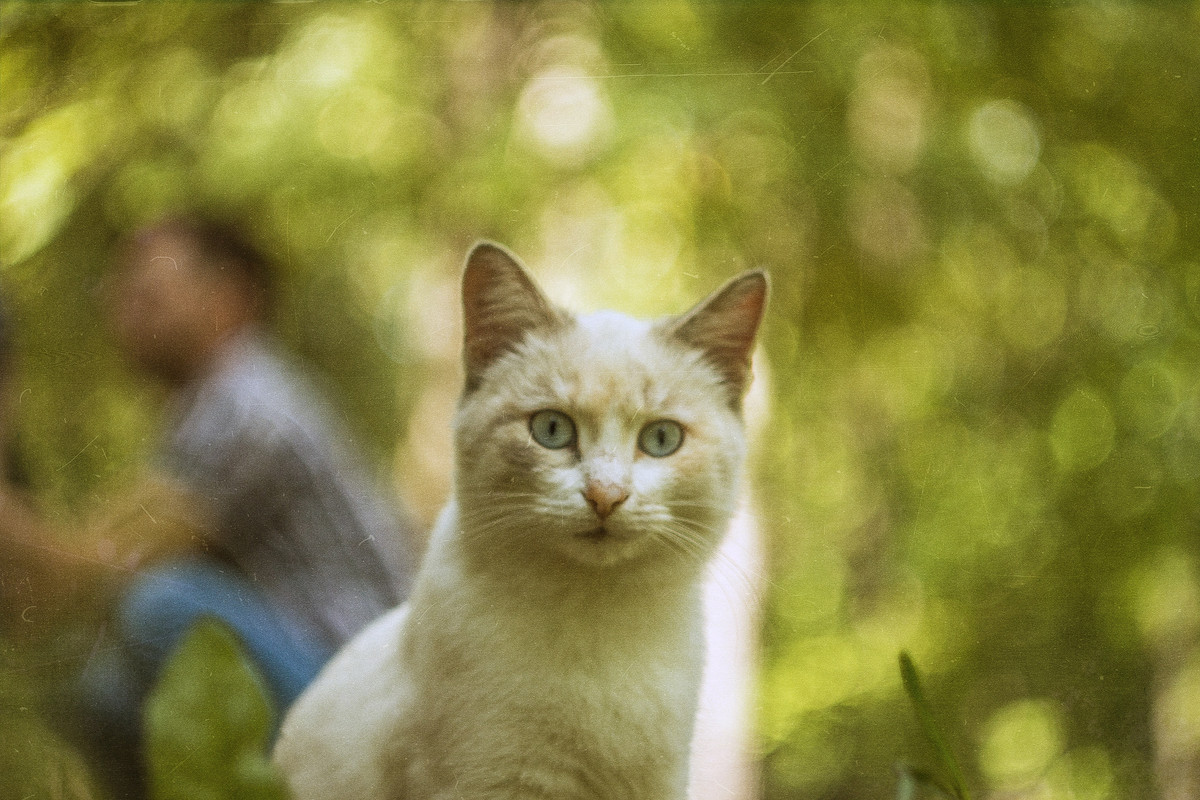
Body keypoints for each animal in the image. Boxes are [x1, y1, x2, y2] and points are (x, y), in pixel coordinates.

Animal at [274, 244, 768, 800]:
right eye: (551, 430)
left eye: (661, 439)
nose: (606, 496)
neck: (595, 622)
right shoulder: (490, 784)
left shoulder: (659, 783)